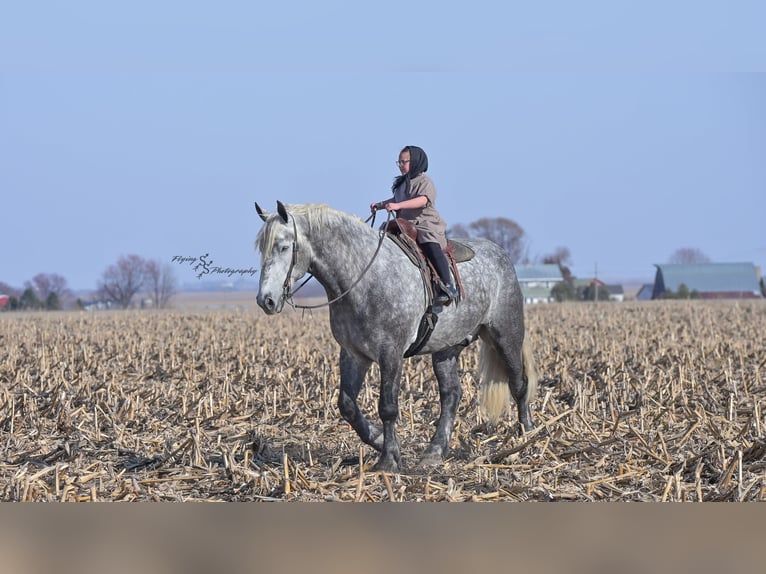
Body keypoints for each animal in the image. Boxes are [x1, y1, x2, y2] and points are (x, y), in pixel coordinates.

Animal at [255, 201, 537, 473]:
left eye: (283, 247)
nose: (265, 300)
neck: (362, 278)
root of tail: (501, 254)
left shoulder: (390, 353)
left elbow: (387, 407)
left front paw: (389, 460)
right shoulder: (353, 354)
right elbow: (347, 405)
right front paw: (379, 440)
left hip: (506, 336)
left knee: (519, 383)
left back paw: (527, 435)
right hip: (446, 350)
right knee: (451, 395)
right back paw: (434, 453)